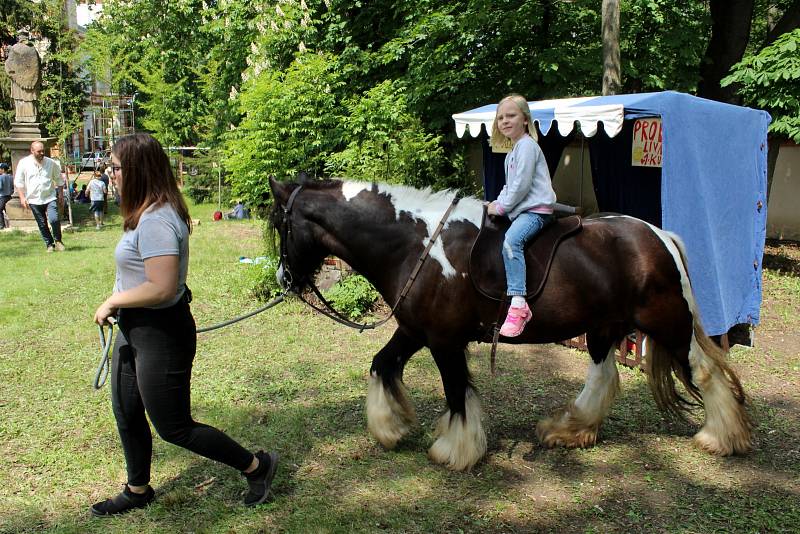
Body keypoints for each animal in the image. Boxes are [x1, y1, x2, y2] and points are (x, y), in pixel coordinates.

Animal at [268, 178, 752, 472]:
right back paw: (568, 430)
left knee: (704, 373)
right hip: (604, 328)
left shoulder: (443, 341)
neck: (417, 244)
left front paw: (455, 450)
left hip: (667, 323)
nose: (283, 279)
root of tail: (659, 236)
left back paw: (719, 438)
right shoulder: (414, 332)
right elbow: (382, 364)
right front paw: (391, 427)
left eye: (279, 225)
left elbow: (456, 392)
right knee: (603, 378)